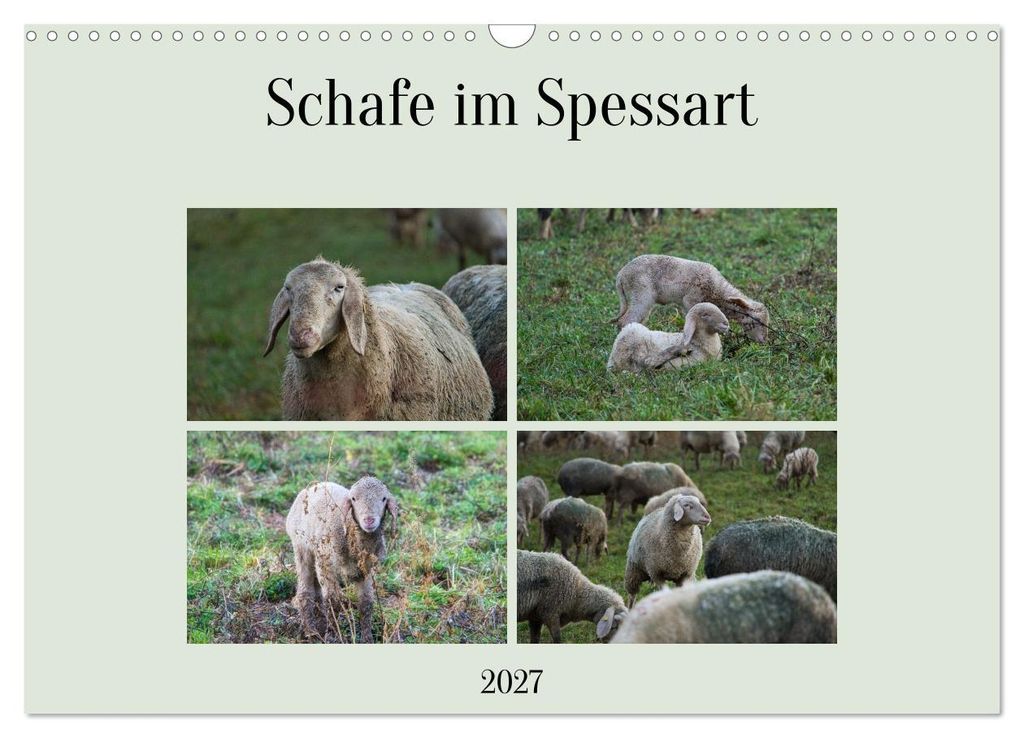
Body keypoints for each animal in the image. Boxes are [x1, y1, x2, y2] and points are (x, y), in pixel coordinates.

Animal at [286, 477, 399, 642]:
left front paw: (367, 638)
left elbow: (366, 603)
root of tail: (312, 486)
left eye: (384, 498)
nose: (369, 520)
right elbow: (333, 600)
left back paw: (320, 620)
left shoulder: (365, 570)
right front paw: (334, 634)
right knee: (305, 591)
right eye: (354, 499)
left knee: (317, 590)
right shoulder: (326, 563)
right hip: (302, 548)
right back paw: (311, 631)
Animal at [614, 254, 770, 342]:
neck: (717, 292)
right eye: (757, 322)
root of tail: (621, 274)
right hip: (641, 294)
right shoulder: (691, 300)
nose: (763, 341)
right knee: (625, 320)